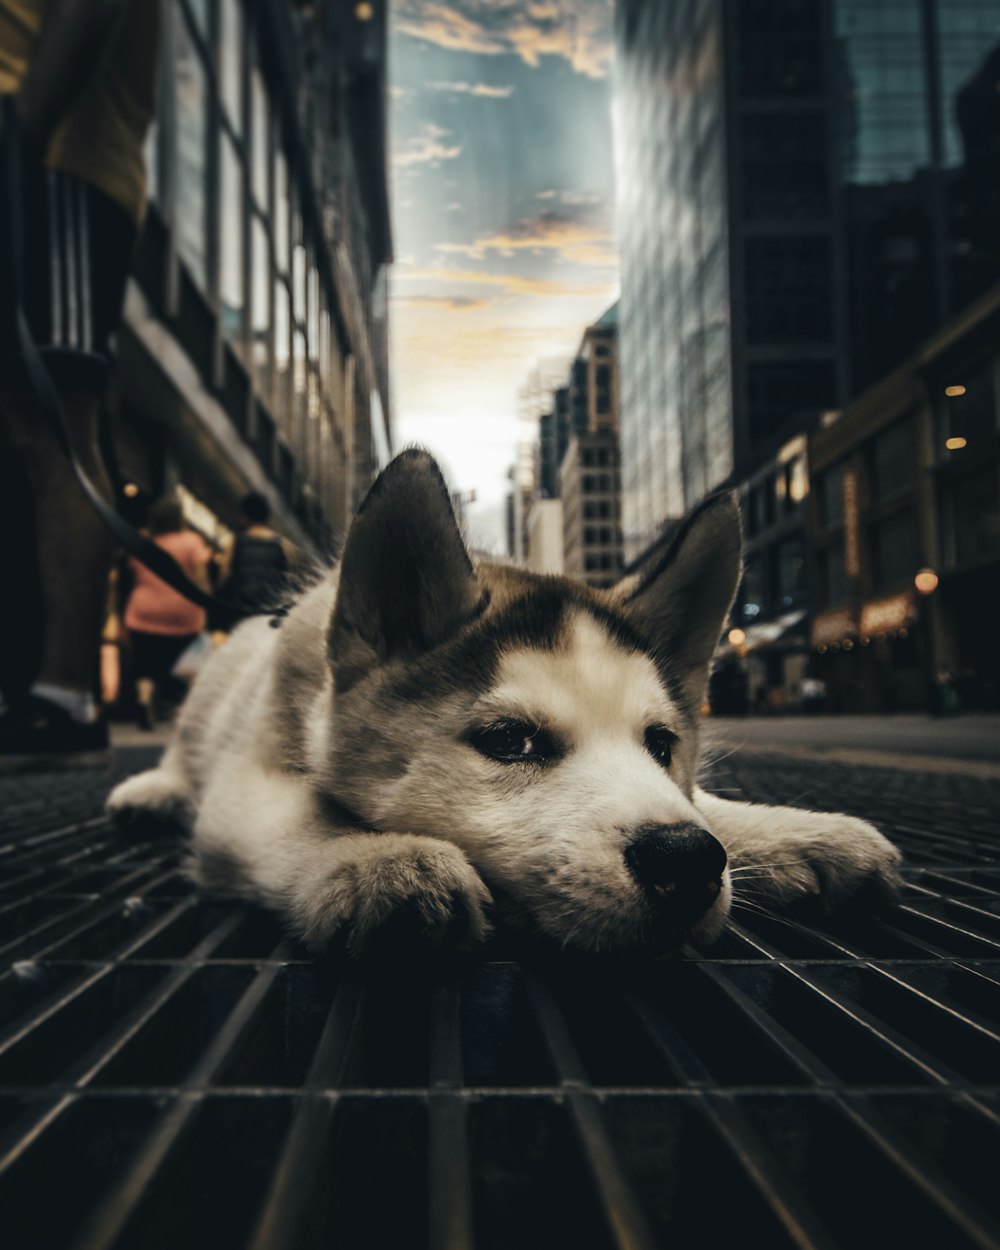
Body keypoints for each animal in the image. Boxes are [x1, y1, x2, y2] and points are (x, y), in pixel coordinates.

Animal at [107, 455, 900, 950]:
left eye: (662, 745)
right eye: (510, 741)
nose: (687, 862)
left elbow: (703, 805)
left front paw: (797, 834)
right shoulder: (248, 781)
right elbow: (297, 816)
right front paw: (376, 857)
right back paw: (151, 788)